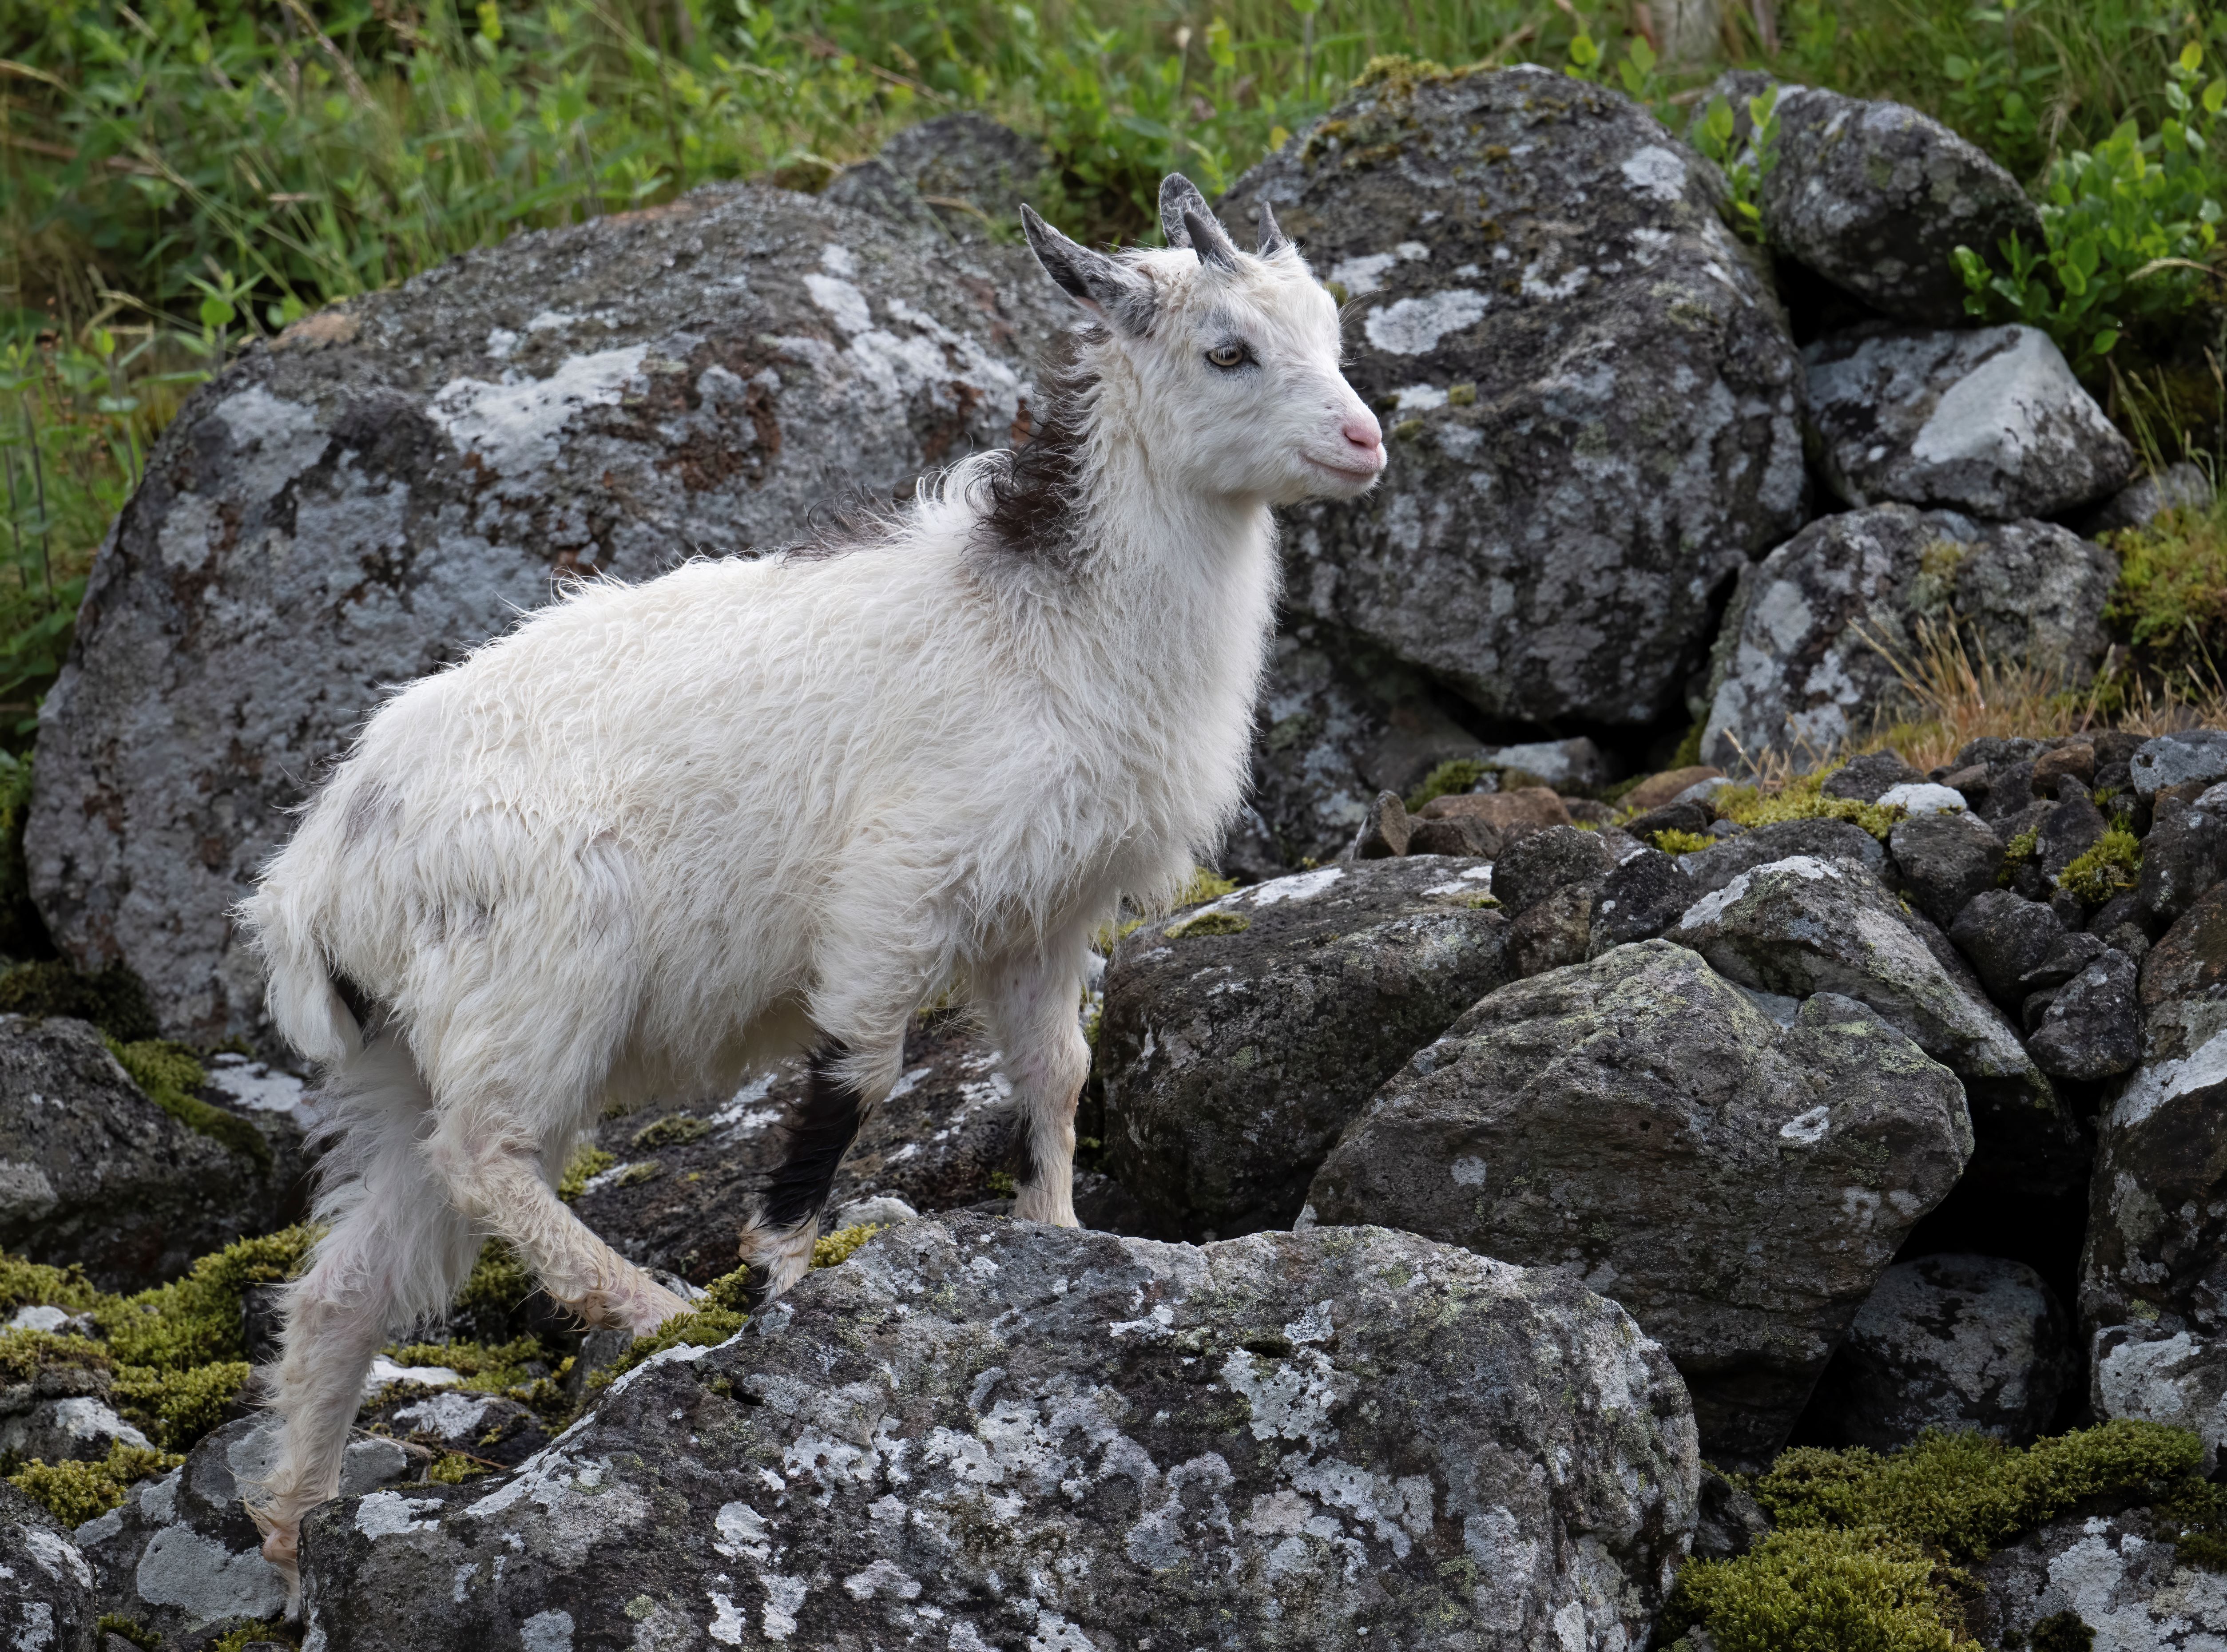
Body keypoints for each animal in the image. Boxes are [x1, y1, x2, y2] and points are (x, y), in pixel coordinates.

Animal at [226, 174, 1372, 1585]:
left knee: (347, 1281)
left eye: (1327, 327)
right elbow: (858, 1074)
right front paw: (777, 1265)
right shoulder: (897, 884)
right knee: (486, 1157)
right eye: (1226, 351)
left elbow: (1057, 1073)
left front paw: (1057, 1239)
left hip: (398, 1056)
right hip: (535, 984)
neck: (1045, 625)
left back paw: (292, 1532)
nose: (1363, 440)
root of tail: (317, 874)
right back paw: (649, 1308)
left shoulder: (1046, 911)